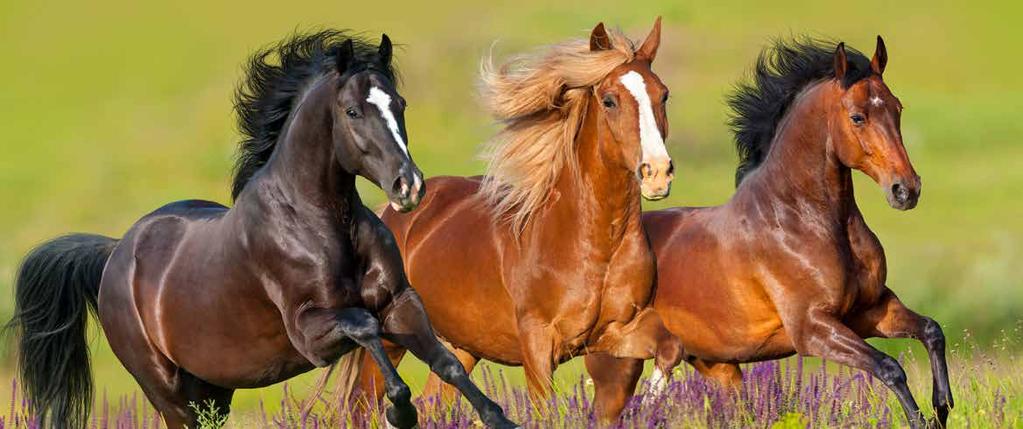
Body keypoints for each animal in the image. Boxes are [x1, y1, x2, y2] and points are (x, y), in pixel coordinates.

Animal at [6, 31, 519, 429]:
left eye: (400, 103)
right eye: (353, 111)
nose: (408, 186)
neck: (321, 225)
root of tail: (115, 253)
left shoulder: (400, 301)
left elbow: (447, 362)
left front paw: (498, 417)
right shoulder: (310, 333)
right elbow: (365, 325)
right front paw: (401, 408)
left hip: (212, 390)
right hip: (168, 392)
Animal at [343, 20, 675, 403]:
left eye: (663, 95)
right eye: (609, 100)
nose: (657, 172)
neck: (594, 245)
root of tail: (390, 212)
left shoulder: (619, 330)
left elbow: (670, 348)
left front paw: (650, 399)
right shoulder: (538, 344)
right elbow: (546, 406)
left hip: (461, 346)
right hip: (391, 338)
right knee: (361, 402)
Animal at [589, 37, 953, 429]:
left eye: (897, 108)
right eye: (858, 117)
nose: (906, 190)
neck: (800, 219)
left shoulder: (870, 310)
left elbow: (932, 330)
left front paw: (943, 406)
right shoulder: (812, 329)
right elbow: (890, 367)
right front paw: (925, 419)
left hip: (719, 367)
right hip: (618, 365)